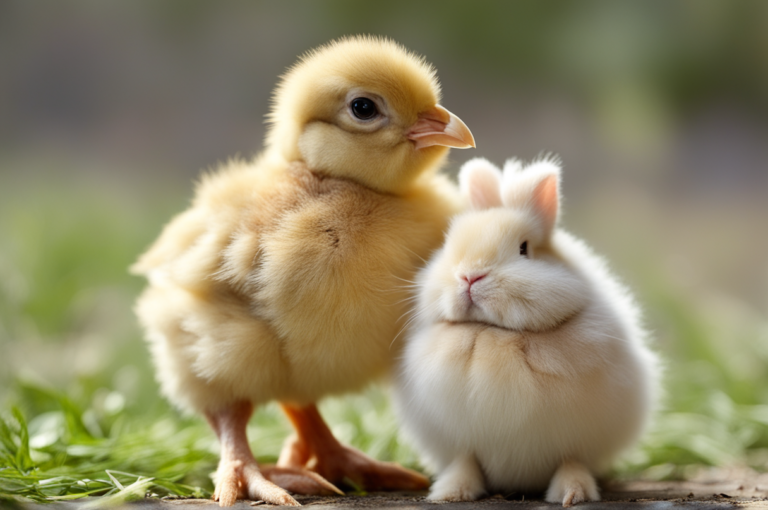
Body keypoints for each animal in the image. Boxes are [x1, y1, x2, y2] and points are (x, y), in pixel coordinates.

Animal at [393, 156, 659, 507]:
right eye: (448, 244)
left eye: (523, 249)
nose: (469, 276)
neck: (492, 333)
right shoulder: (460, 439)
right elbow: (465, 462)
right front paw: (448, 493)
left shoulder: (575, 438)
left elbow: (570, 459)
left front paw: (573, 494)